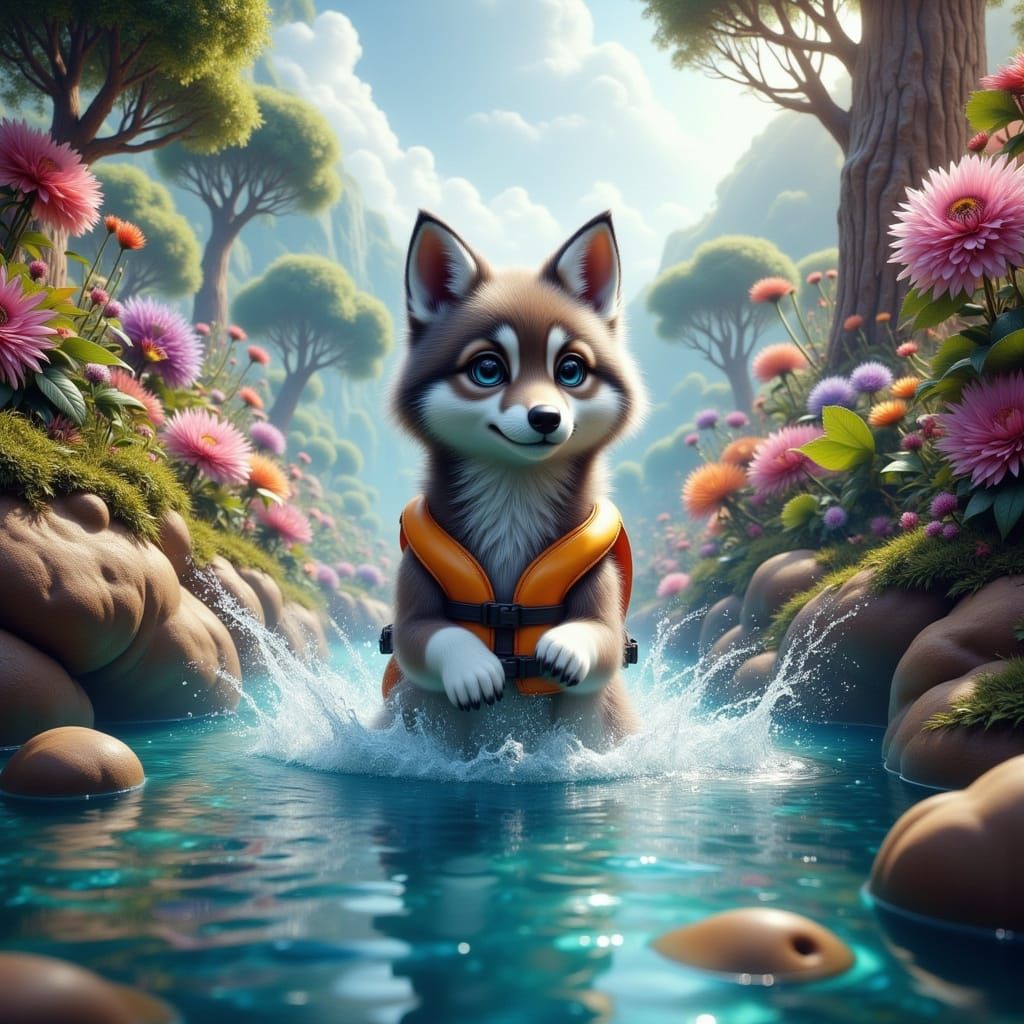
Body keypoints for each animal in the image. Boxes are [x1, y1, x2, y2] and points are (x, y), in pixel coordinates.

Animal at [381, 210, 647, 750]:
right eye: (488, 369)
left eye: (571, 370)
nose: (545, 417)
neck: (513, 499)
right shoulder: (415, 576)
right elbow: (420, 637)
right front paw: (473, 667)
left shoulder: (602, 575)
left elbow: (605, 640)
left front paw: (564, 647)